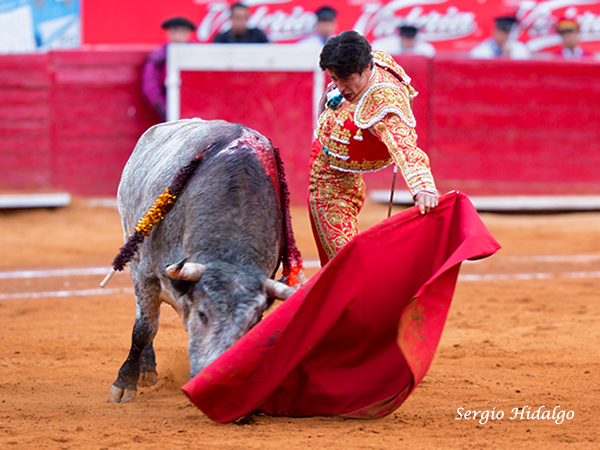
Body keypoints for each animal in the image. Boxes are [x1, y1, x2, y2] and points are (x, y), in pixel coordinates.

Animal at [106, 118, 302, 402]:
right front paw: (124, 383)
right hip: (132, 249)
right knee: (146, 317)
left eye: (250, 322)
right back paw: (146, 370)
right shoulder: (147, 274)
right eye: (202, 314)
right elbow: (143, 328)